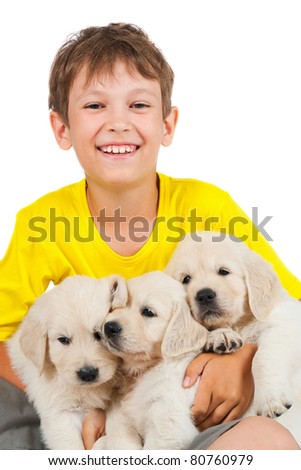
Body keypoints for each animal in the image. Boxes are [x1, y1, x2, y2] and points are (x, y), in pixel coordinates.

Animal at [94, 272, 209, 452]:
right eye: (117, 306)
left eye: (148, 312)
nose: (109, 327)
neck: (149, 369)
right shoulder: (121, 409)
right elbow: (117, 436)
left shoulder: (170, 424)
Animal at [165, 230, 300, 444]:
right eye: (186, 279)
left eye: (223, 271)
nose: (204, 295)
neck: (239, 324)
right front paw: (220, 335)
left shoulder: (287, 319)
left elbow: (264, 357)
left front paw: (270, 399)